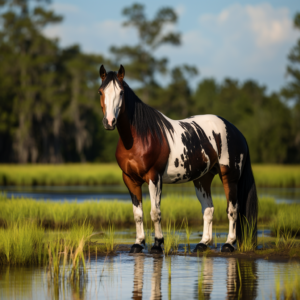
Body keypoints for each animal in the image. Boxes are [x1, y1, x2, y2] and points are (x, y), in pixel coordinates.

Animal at [98, 64, 258, 254]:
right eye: (100, 91)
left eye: (121, 92)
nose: (109, 122)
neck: (140, 137)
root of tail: (235, 130)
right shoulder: (130, 179)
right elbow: (138, 214)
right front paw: (138, 243)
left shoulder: (154, 177)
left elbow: (155, 212)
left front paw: (157, 244)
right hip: (202, 179)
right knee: (208, 209)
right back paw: (202, 243)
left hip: (229, 177)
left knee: (232, 209)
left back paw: (228, 244)